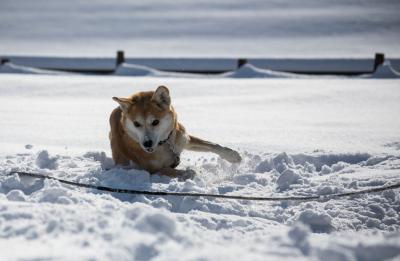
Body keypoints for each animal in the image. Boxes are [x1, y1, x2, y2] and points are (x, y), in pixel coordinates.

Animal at [108, 85, 241, 177]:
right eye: (136, 124)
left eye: (155, 122)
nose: (147, 143)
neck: (165, 144)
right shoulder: (152, 169)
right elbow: (178, 171)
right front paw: (192, 173)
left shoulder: (184, 139)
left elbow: (212, 145)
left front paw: (233, 155)